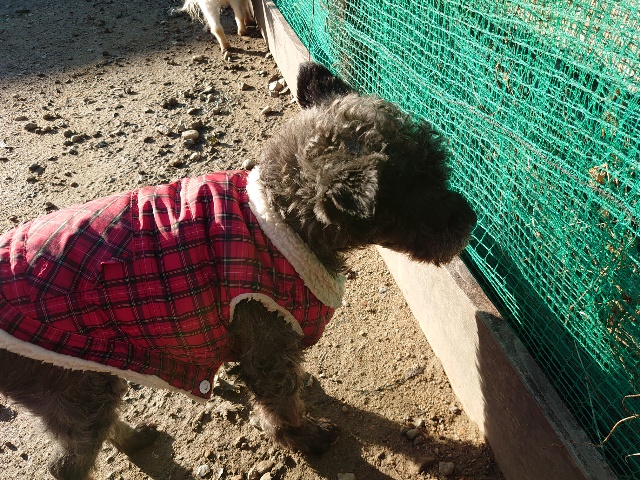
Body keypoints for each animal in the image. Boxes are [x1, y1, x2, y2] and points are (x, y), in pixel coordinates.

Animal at [0, 62, 476, 480]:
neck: (281, 216)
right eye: (422, 192)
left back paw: (136, 438)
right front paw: (305, 439)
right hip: (74, 389)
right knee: (66, 463)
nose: (470, 220)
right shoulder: (265, 342)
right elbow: (281, 405)